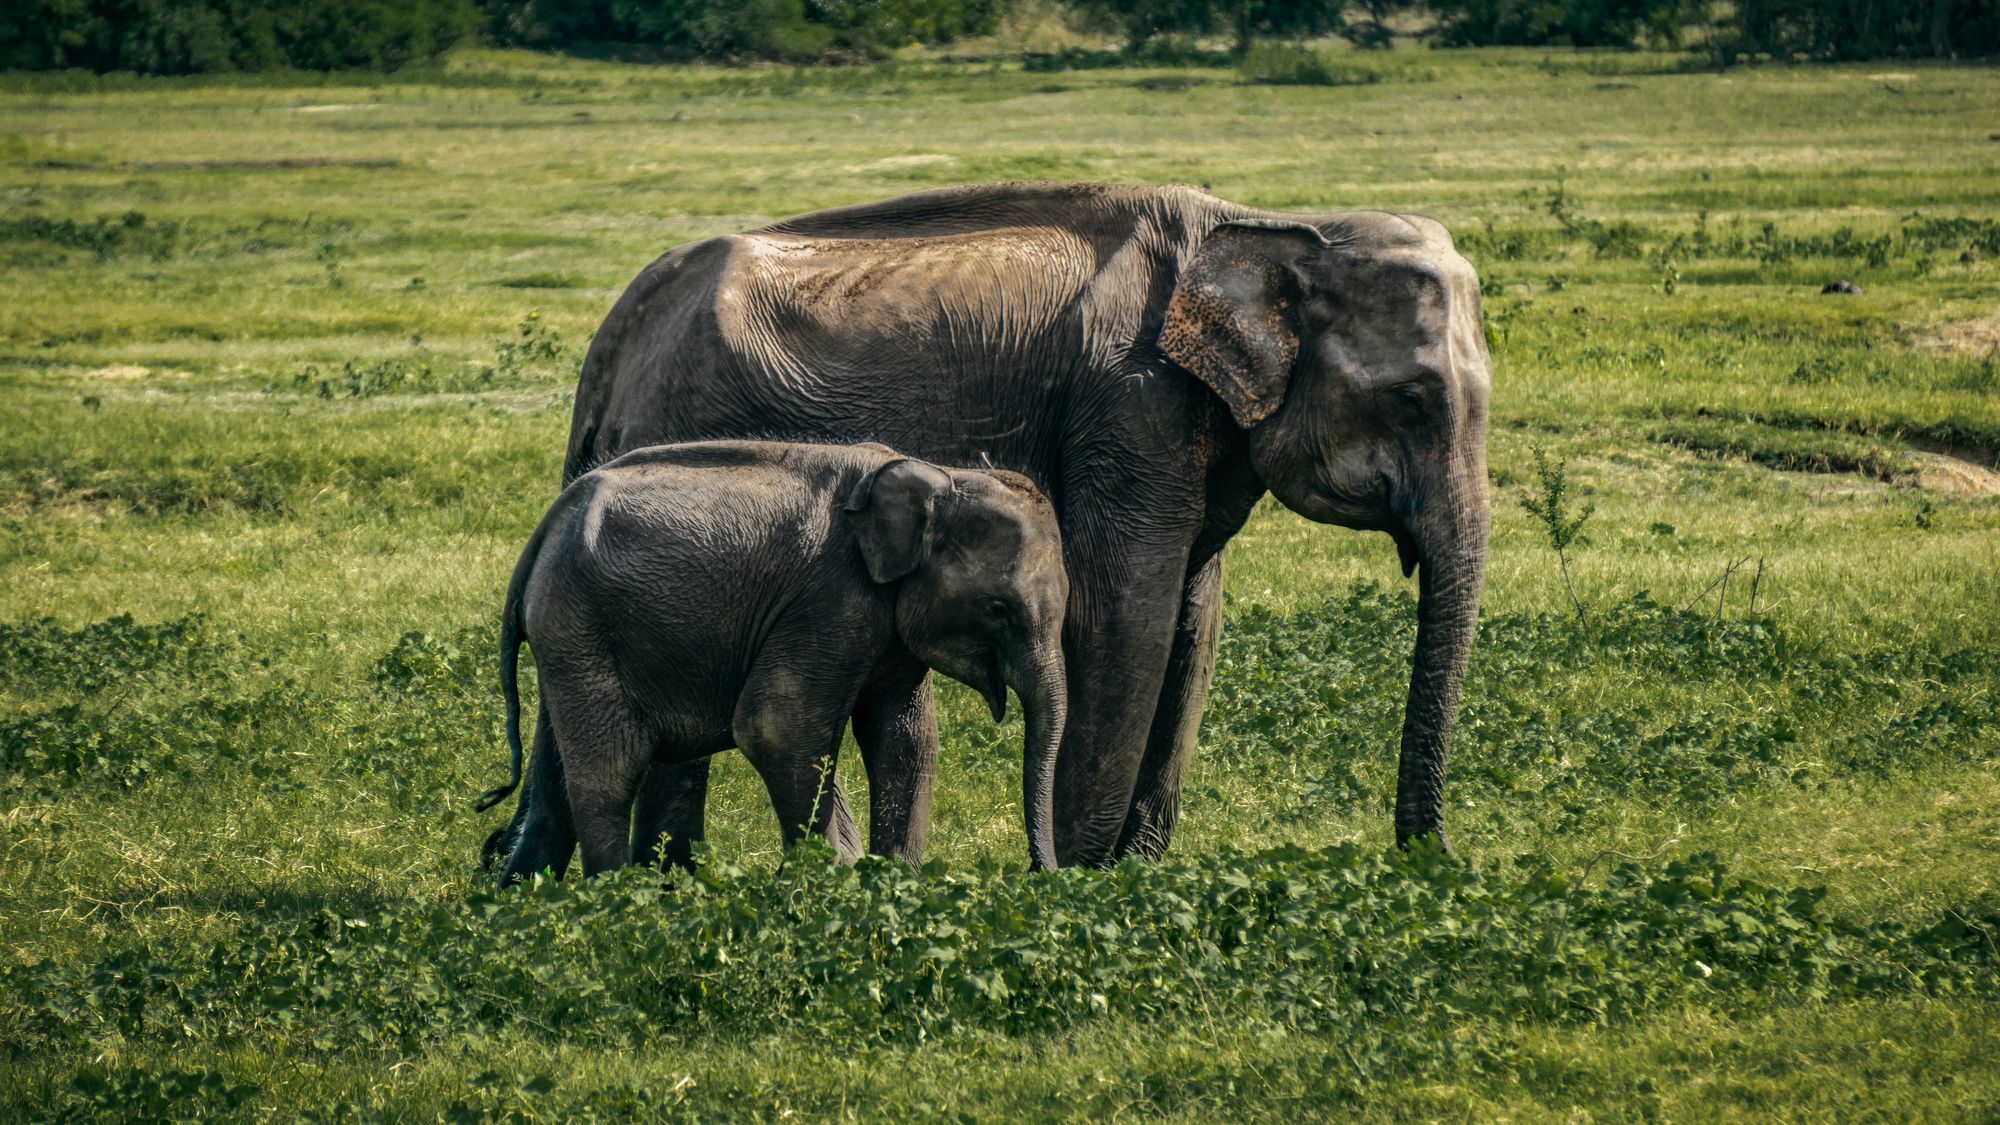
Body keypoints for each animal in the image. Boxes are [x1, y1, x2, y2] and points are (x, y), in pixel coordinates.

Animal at [478, 434, 1072, 880]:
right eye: (998, 609)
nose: (1043, 872)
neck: (936, 474)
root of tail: (544, 530)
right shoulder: (829, 599)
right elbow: (778, 730)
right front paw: (833, 880)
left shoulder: (888, 625)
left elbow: (906, 740)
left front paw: (890, 882)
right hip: (579, 624)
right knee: (609, 772)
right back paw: (617, 896)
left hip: (571, 638)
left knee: (557, 775)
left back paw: (523, 898)